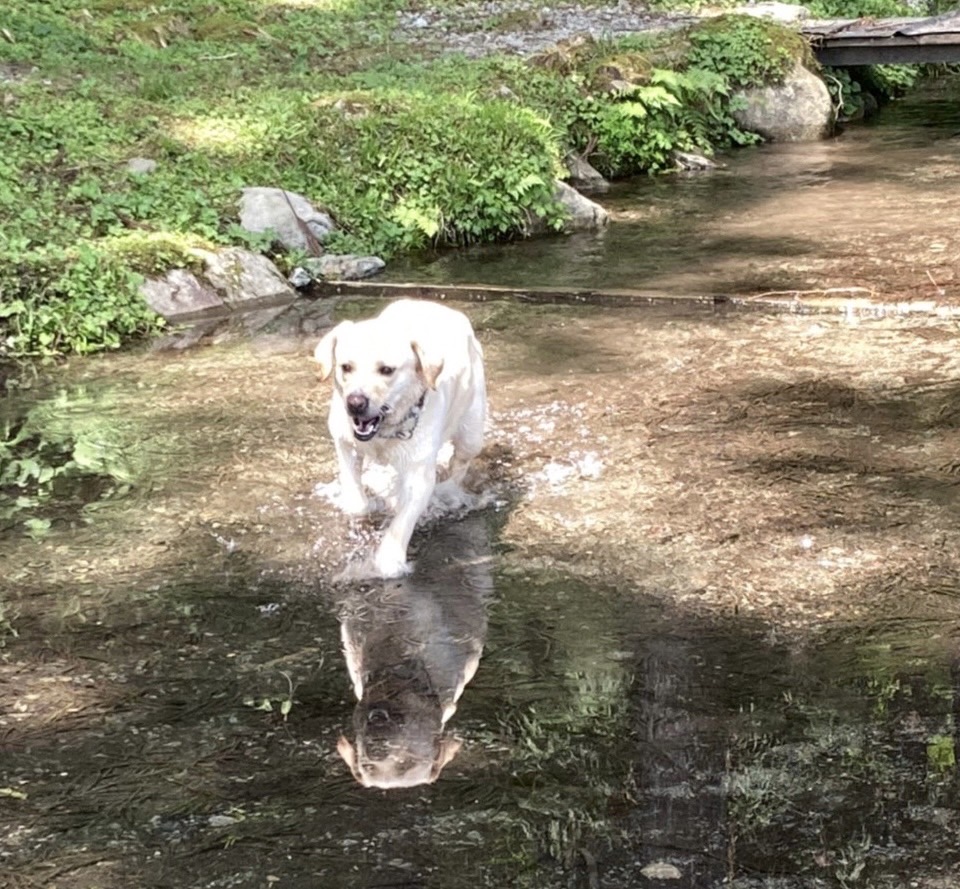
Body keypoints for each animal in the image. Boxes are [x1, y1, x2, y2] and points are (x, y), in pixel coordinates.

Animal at [314, 298, 484, 576]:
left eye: (386, 370)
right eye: (346, 367)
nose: (355, 403)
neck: (384, 432)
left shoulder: (419, 471)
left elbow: (403, 519)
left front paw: (389, 560)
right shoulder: (345, 444)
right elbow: (356, 498)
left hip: (472, 431)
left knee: (460, 463)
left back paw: (449, 491)